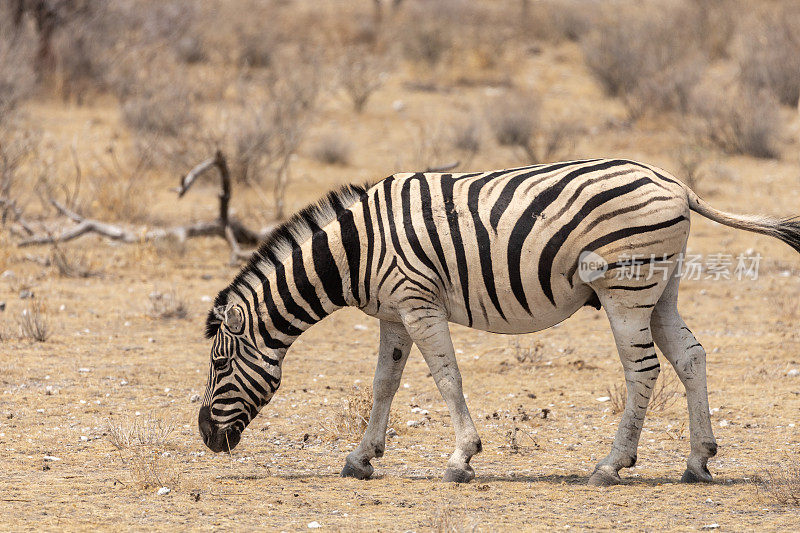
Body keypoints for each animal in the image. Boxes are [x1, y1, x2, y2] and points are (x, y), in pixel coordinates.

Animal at [198, 157, 800, 482]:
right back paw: (698, 462)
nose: (205, 436)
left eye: (219, 365)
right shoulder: (394, 312)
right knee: (691, 357)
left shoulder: (418, 301)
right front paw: (361, 458)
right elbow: (384, 383)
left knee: (643, 370)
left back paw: (611, 465)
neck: (358, 249)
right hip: (661, 286)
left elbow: (446, 378)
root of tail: (676, 183)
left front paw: (462, 458)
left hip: (625, 287)